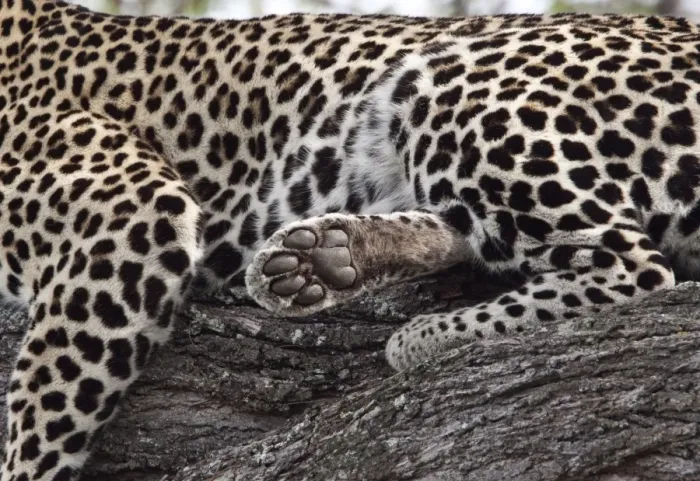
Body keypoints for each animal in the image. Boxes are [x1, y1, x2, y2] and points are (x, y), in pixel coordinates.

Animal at [2, 0, 700, 479]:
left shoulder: (130, 210)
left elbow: (41, 402)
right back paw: (319, 258)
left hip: (454, 76)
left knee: (636, 268)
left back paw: (421, 336)